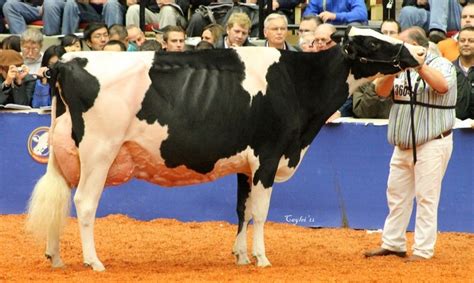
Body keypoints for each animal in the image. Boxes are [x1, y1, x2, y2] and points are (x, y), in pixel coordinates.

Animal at [25, 27, 426, 272]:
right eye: (373, 44)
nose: (420, 51)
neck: (297, 83)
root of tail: (67, 61)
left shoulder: (246, 165)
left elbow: (241, 211)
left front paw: (241, 256)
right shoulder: (268, 155)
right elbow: (261, 213)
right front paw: (261, 258)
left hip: (66, 154)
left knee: (60, 200)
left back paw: (55, 257)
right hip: (99, 151)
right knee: (84, 203)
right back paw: (93, 262)